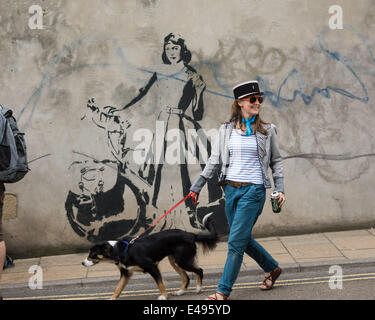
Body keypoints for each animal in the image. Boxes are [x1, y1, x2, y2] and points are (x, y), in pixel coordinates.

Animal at [82, 212, 217, 300]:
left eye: (92, 254)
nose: (82, 263)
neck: (122, 250)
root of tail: (190, 234)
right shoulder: (126, 272)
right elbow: (118, 287)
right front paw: (112, 298)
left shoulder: (152, 267)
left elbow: (160, 284)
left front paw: (164, 296)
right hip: (174, 261)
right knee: (186, 277)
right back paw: (180, 292)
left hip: (182, 260)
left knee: (199, 270)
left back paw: (198, 289)